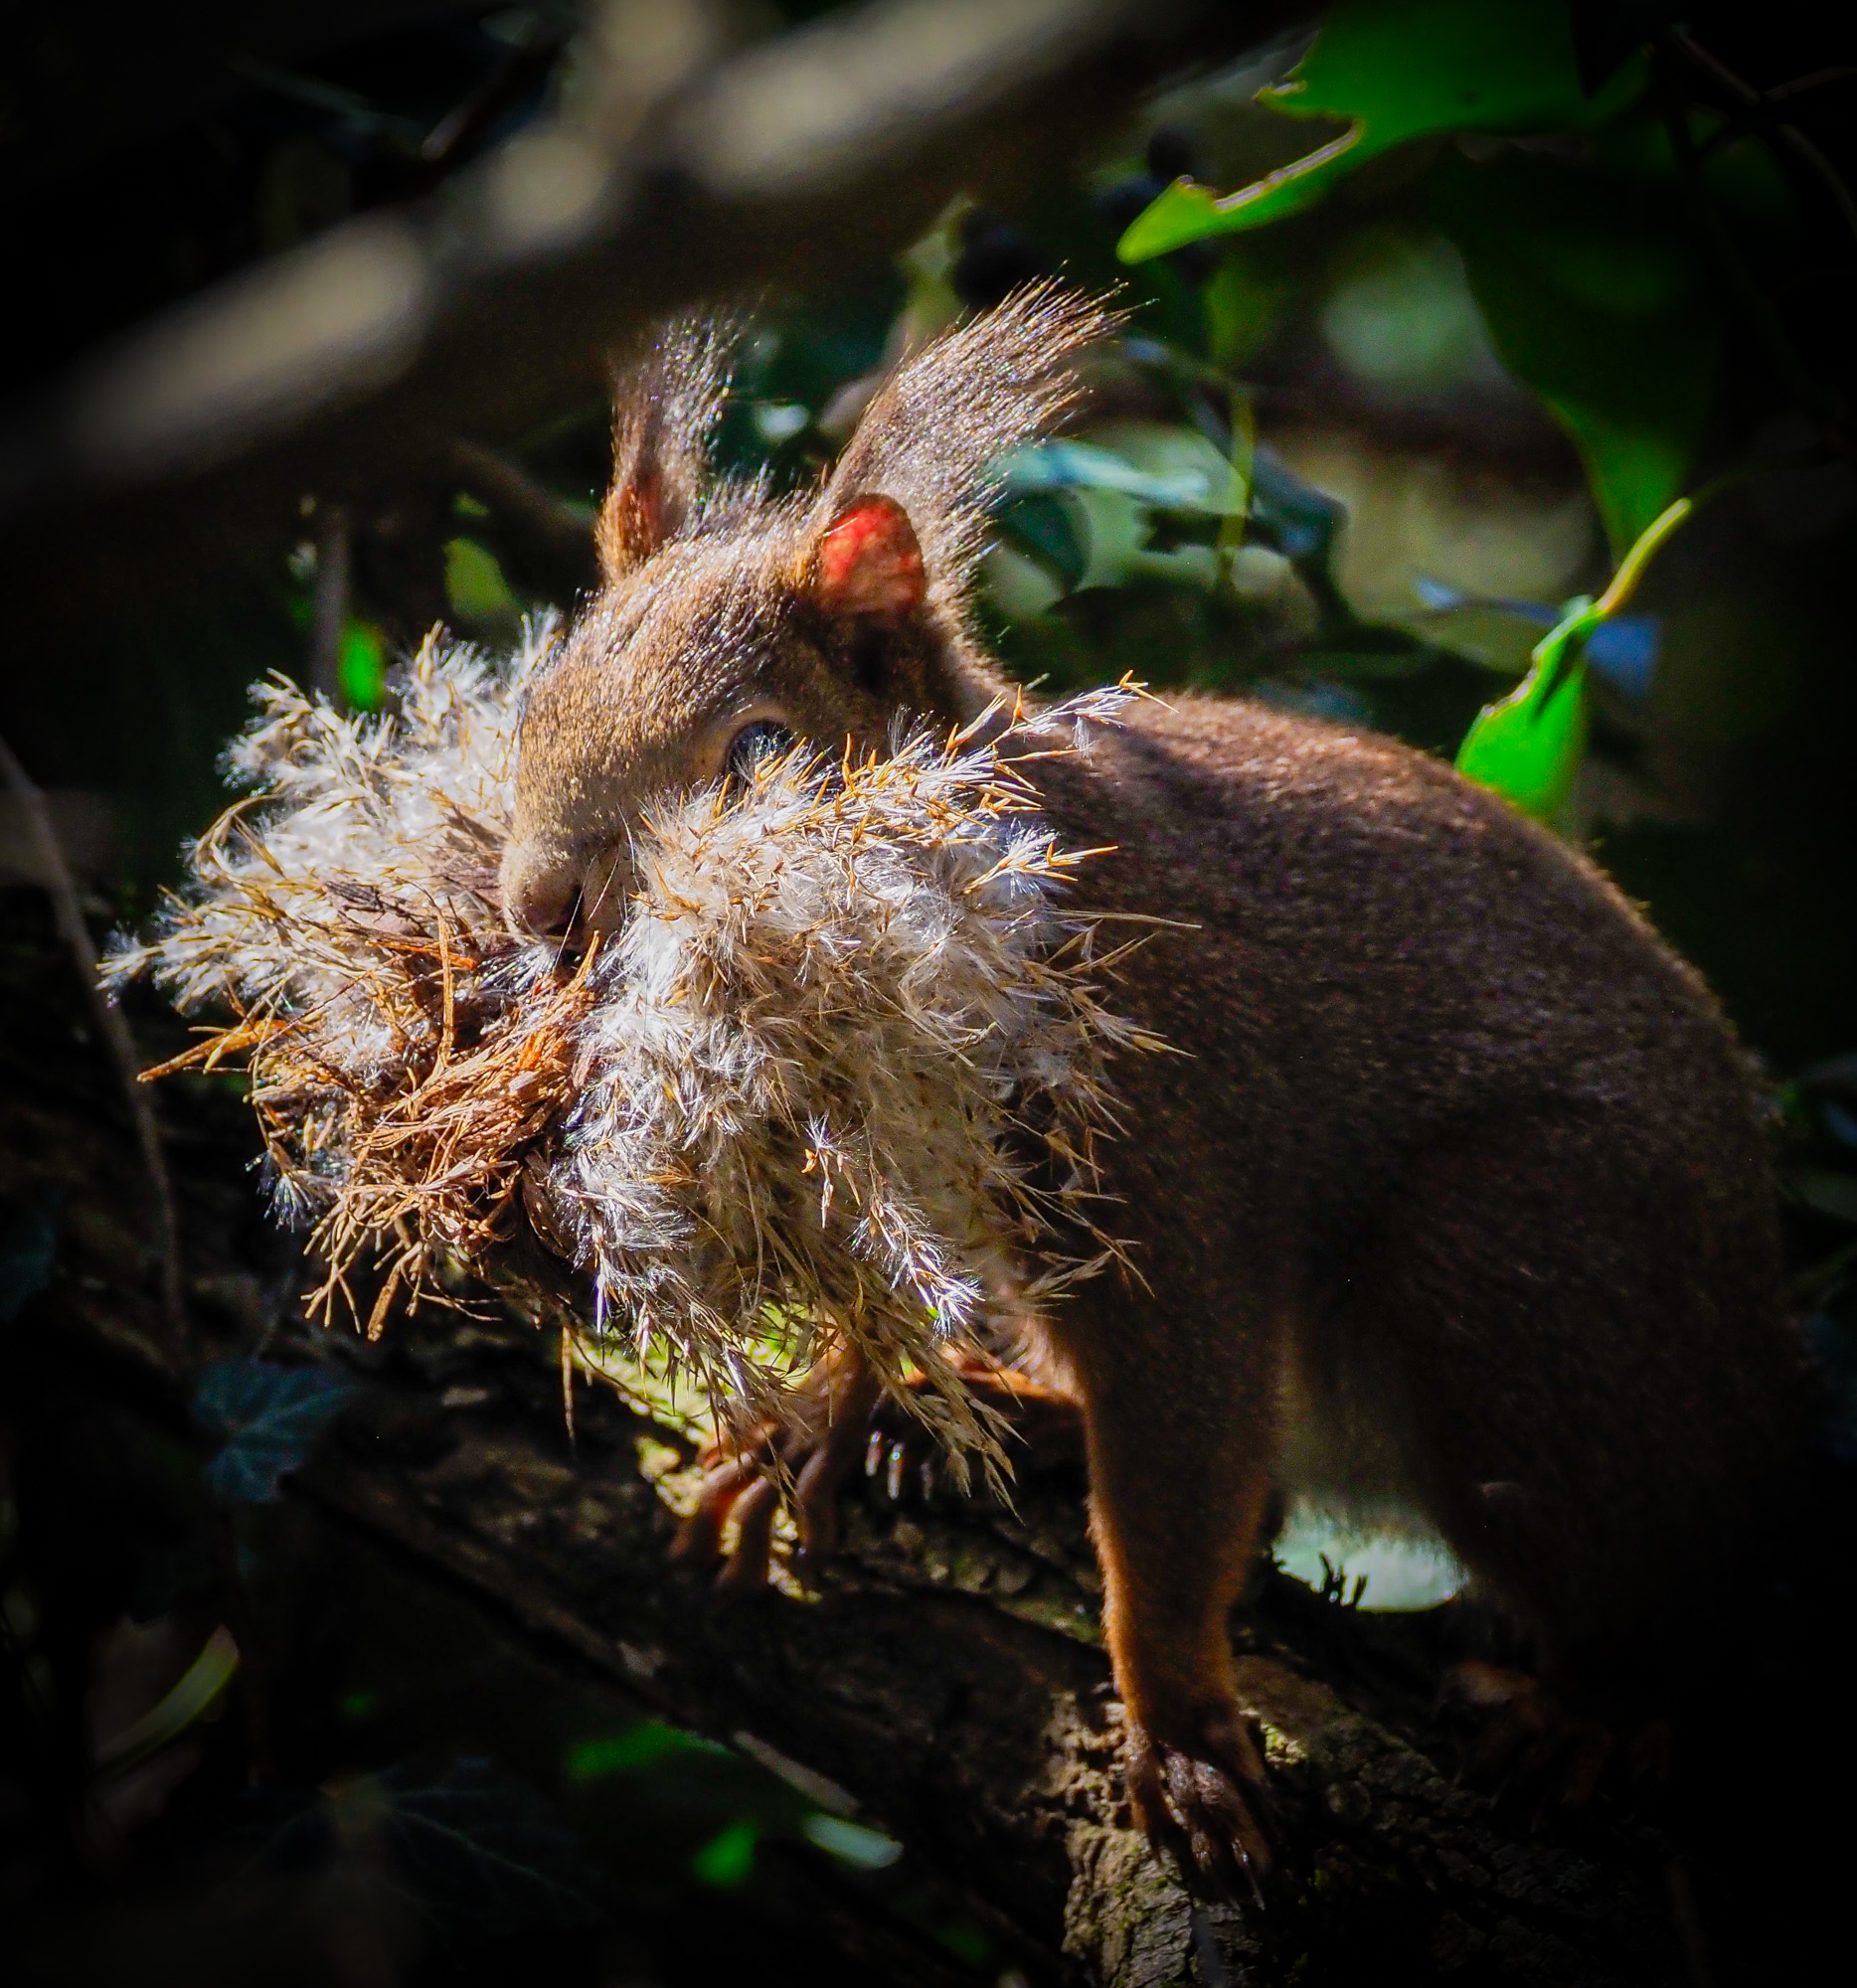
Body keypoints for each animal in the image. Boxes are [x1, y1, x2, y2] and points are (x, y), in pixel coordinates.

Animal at [499, 287, 1810, 1891]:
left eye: (756, 752)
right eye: (539, 699)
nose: (531, 905)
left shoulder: (1168, 1151)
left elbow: (1182, 1477)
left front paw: (1179, 1729)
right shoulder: (883, 1180)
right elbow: (883, 1302)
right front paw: (821, 1406)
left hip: (1520, 1269)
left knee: (1655, 1582)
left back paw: (1604, 1706)